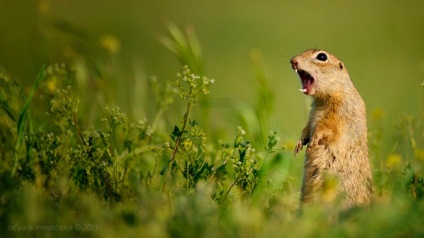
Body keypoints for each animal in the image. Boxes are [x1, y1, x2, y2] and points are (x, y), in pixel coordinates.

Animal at [290, 49, 372, 209]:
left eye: (322, 56)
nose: (293, 61)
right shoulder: (312, 116)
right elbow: (307, 128)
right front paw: (299, 144)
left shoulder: (337, 113)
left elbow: (325, 127)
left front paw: (312, 144)